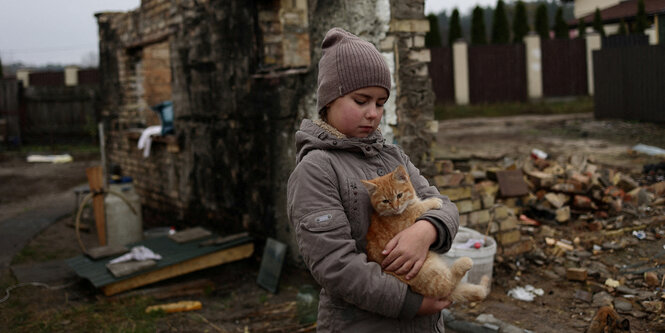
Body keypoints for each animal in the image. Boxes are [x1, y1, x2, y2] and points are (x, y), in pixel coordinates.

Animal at [360, 165, 490, 302]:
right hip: (427, 270)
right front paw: (433, 201)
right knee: (447, 286)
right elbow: (420, 207)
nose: (396, 207)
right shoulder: (410, 219)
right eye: (385, 201)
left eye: (399, 195)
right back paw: (464, 263)